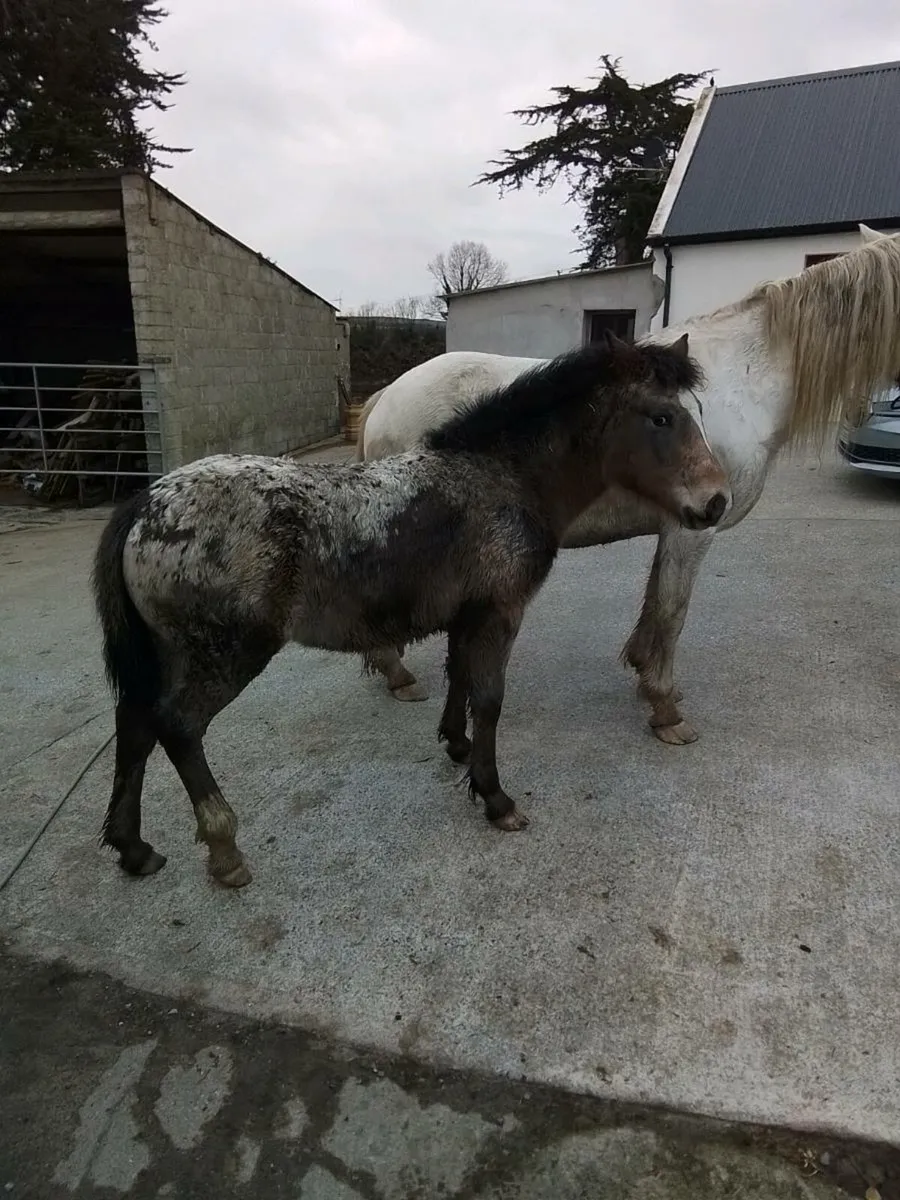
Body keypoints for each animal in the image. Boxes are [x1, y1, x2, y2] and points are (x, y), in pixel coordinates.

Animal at [92, 333, 730, 889]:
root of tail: (145, 504)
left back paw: (133, 848)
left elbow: (460, 677)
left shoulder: (468, 613)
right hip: (227, 653)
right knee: (178, 727)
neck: (500, 478)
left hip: (168, 653)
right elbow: (490, 698)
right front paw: (495, 797)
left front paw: (456, 745)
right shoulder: (500, 612)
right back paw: (224, 849)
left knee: (136, 720)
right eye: (661, 418)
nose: (716, 501)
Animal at [357, 224, 900, 744]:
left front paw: (647, 678)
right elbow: (673, 611)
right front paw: (666, 711)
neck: (741, 381)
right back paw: (398, 675)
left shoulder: (678, 523)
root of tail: (388, 395)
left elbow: (655, 602)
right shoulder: (695, 530)